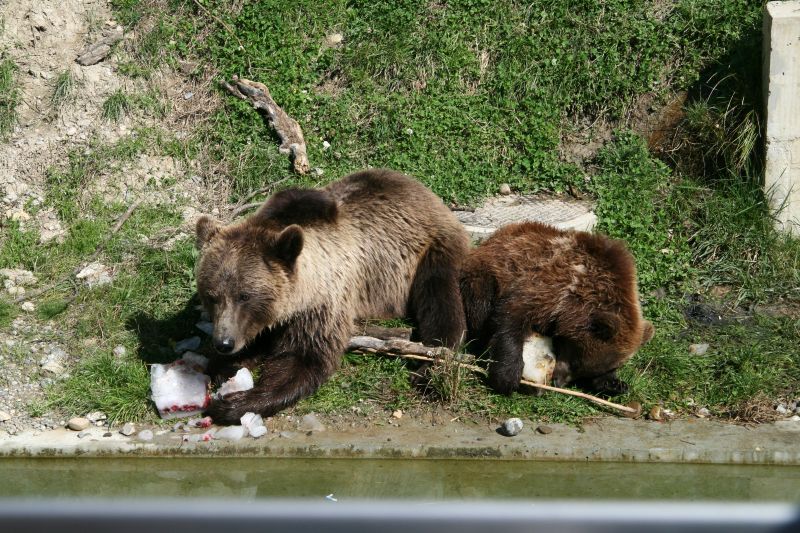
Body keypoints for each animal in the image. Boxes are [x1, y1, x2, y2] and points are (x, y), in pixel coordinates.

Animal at [195, 168, 468, 422]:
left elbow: (305, 358)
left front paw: (234, 403)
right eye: (211, 296)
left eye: (245, 296)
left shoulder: (325, 300)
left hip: (428, 249)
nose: (224, 343)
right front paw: (226, 367)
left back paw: (432, 362)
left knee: (440, 300)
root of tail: (422, 188)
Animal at [460, 219, 652, 394]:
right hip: (483, 274)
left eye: (584, 370)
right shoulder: (548, 285)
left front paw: (615, 384)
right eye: (576, 361)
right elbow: (510, 315)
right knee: (480, 307)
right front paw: (507, 376)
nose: (558, 382)